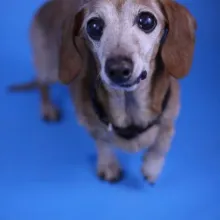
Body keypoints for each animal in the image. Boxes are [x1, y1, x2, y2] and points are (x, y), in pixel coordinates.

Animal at [9, 0, 197, 184]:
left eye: (147, 20)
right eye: (93, 26)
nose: (118, 69)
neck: (130, 109)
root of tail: (46, 5)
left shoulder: (170, 119)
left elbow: (160, 145)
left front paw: (152, 167)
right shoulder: (90, 123)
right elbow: (102, 142)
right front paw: (108, 165)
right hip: (50, 71)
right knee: (43, 86)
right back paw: (48, 108)